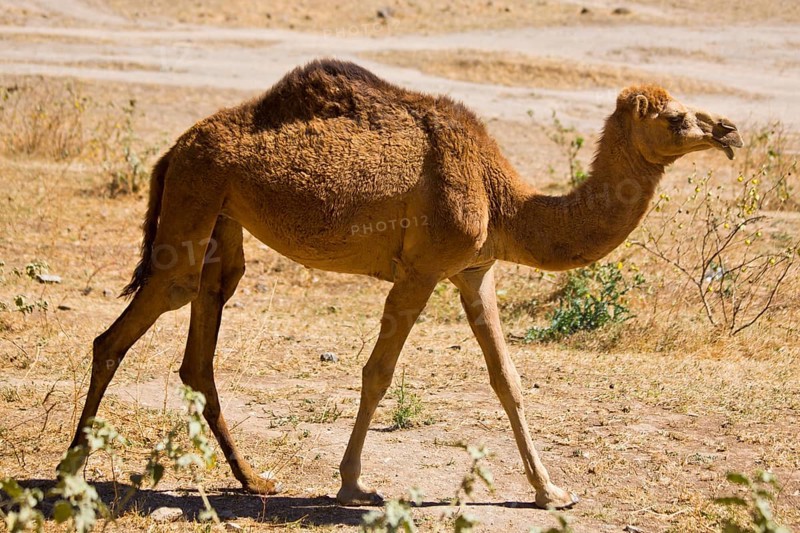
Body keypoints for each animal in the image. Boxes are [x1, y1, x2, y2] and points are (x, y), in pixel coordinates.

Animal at [68, 59, 742, 510]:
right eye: (678, 118)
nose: (729, 131)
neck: (506, 200)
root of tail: (173, 147)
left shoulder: (474, 272)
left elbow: (508, 378)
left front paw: (551, 491)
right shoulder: (422, 270)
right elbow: (378, 372)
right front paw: (353, 483)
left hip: (220, 217)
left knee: (200, 339)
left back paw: (253, 480)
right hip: (194, 197)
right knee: (126, 327)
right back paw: (71, 470)